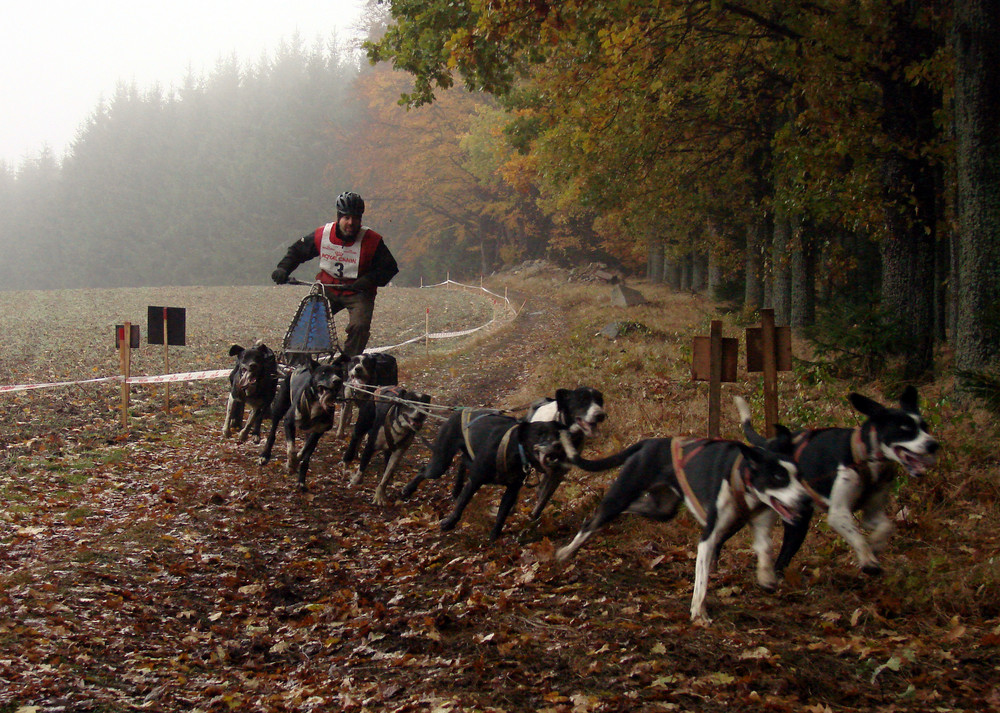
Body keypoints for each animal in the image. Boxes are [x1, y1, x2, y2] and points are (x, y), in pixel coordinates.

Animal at [258, 358, 344, 486]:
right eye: (323, 373)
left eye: (339, 373)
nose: (337, 380)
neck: (317, 404)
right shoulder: (288, 422)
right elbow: (291, 449)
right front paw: (291, 464)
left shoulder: (318, 432)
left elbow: (305, 452)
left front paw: (298, 468)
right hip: (280, 407)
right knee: (272, 431)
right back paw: (265, 455)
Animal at [398, 408, 572, 544]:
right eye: (540, 434)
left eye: (558, 434)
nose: (558, 445)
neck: (514, 449)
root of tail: (459, 411)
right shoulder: (475, 480)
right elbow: (461, 504)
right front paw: (449, 522)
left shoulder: (512, 490)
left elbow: (502, 514)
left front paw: (494, 536)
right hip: (440, 463)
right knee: (423, 471)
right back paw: (408, 489)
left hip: (465, 457)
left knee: (462, 463)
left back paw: (456, 488)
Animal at [556, 432, 812, 620]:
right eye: (779, 477)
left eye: (799, 475)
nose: (806, 499)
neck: (743, 478)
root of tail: (649, 442)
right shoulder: (709, 536)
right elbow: (702, 579)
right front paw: (699, 612)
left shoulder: (760, 523)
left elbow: (765, 547)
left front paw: (767, 576)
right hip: (622, 494)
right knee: (593, 520)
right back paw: (566, 552)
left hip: (660, 509)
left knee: (620, 512)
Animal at [736, 386, 936, 576]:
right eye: (905, 429)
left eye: (925, 427)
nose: (933, 444)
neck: (865, 455)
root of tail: (769, 445)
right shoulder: (839, 512)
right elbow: (857, 537)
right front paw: (868, 561)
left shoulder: (872, 513)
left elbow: (887, 526)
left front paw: (875, 544)